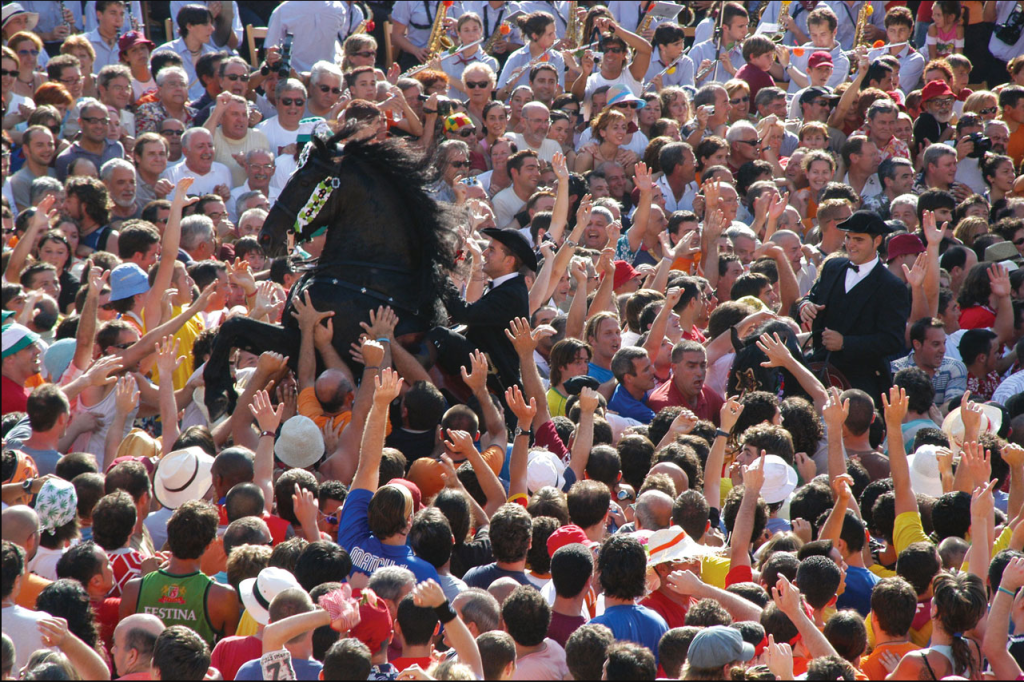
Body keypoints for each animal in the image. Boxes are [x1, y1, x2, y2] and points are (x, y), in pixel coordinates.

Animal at [203, 124, 460, 417]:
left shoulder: (299, 340)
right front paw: (224, 392)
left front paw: (217, 393)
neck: (367, 279)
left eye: (304, 182)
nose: (265, 237)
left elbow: (234, 326)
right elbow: (233, 328)